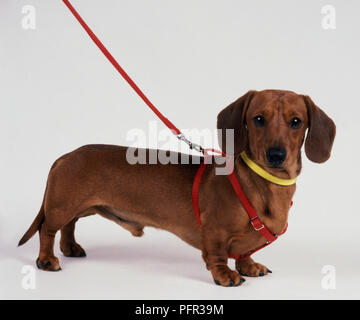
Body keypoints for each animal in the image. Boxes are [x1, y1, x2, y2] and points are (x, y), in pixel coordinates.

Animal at [19, 90, 334, 288]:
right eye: (258, 119)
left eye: (296, 122)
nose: (276, 155)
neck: (263, 183)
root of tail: (66, 155)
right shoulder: (215, 231)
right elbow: (218, 256)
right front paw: (225, 275)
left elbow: (244, 253)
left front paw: (249, 266)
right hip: (63, 205)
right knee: (48, 229)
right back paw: (47, 259)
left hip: (80, 206)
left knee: (68, 226)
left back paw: (70, 248)